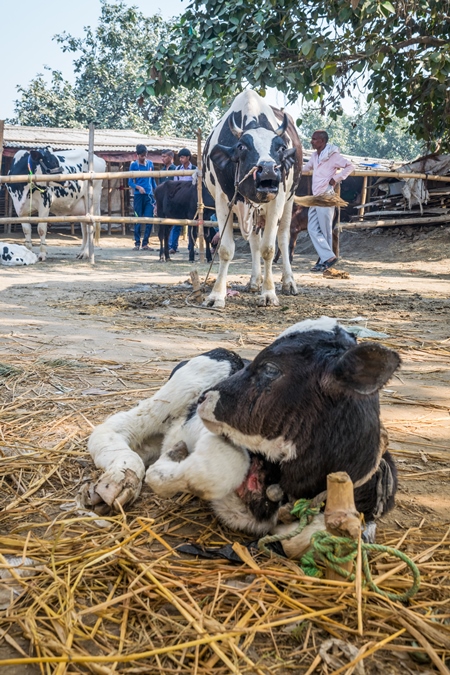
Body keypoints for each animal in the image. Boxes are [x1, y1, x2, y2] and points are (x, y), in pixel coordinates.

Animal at [85, 316, 400, 544]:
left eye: (271, 368)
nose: (205, 397)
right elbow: (221, 468)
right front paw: (165, 467)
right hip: (187, 382)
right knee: (115, 427)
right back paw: (120, 478)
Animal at [203, 90, 302, 308]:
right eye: (242, 147)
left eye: (280, 148)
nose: (268, 169)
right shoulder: (222, 201)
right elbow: (225, 249)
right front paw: (216, 295)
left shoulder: (277, 201)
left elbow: (268, 249)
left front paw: (269, 293)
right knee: (254, 241)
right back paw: (254, 281)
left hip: (289, 201)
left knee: (283, 238)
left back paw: (288, 282)